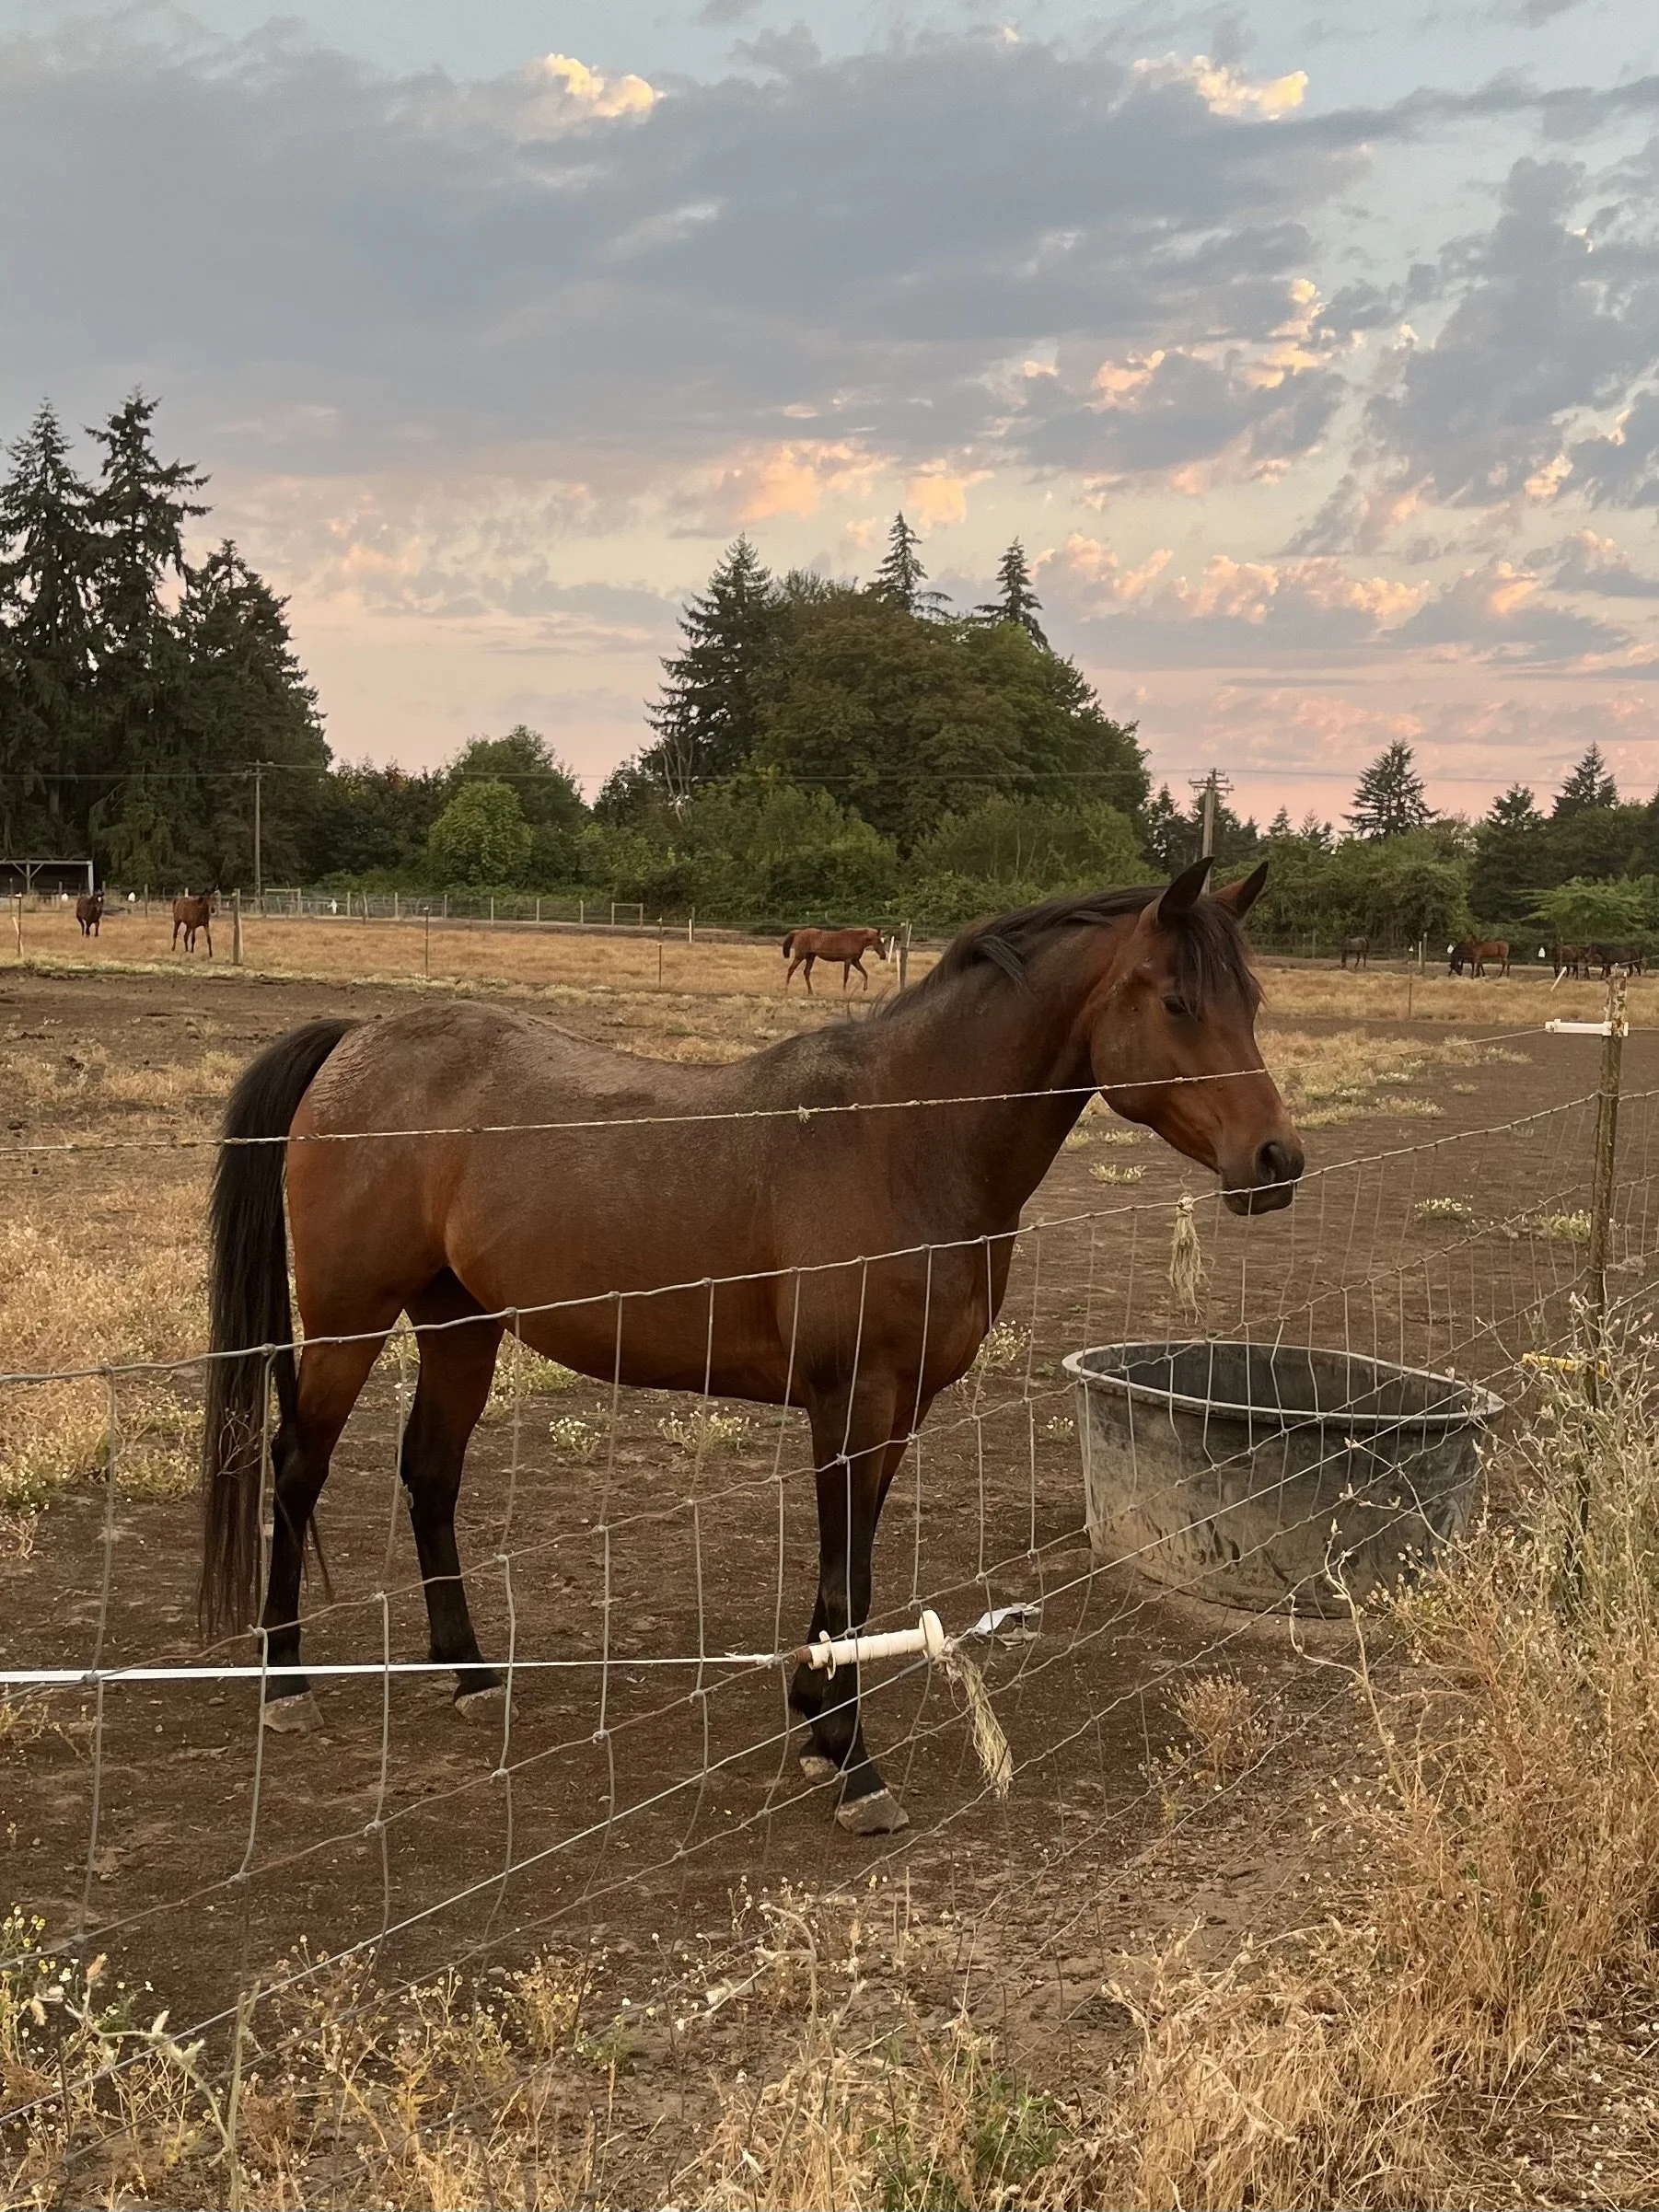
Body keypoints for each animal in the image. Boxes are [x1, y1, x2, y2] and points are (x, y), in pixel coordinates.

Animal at [199, 858, 1302, 1834]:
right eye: (1176, 1002)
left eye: (1250, 998)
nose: (1276, 1160)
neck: (904, 1139)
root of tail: (357, 1041)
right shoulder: (851, 1399)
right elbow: (847, 1579)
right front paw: (854, 1770)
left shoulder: (900, 1404)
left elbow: (851, 1568)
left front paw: (815, 1725)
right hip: (349, 1320)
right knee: (297, 1470)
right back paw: (287, 1681)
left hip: (459, 1326)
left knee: (428, 1472)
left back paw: (471, 1677)